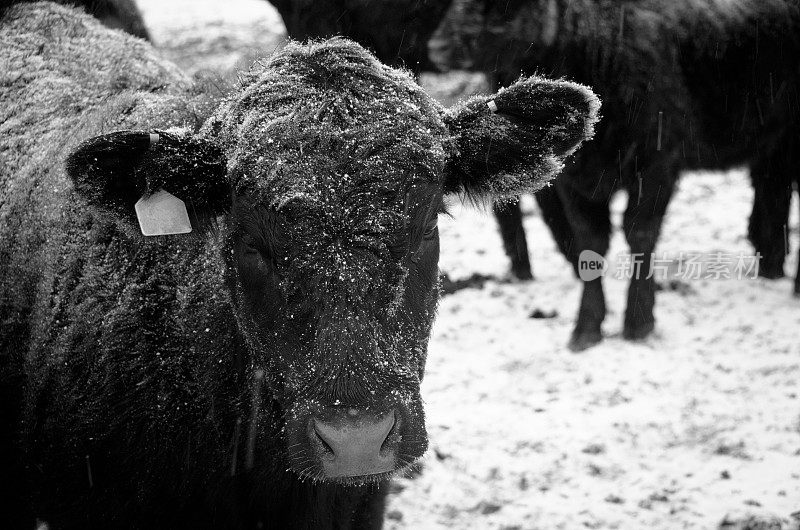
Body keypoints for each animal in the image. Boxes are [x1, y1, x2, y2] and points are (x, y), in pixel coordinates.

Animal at [434, 1, 800, 350]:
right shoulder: (574, 179)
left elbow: (639, 233)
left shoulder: (657, 163)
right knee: (773, 191)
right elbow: (590, 241)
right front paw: (586, 328)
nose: (438, 46)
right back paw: (771, 268)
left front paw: (638, 322)